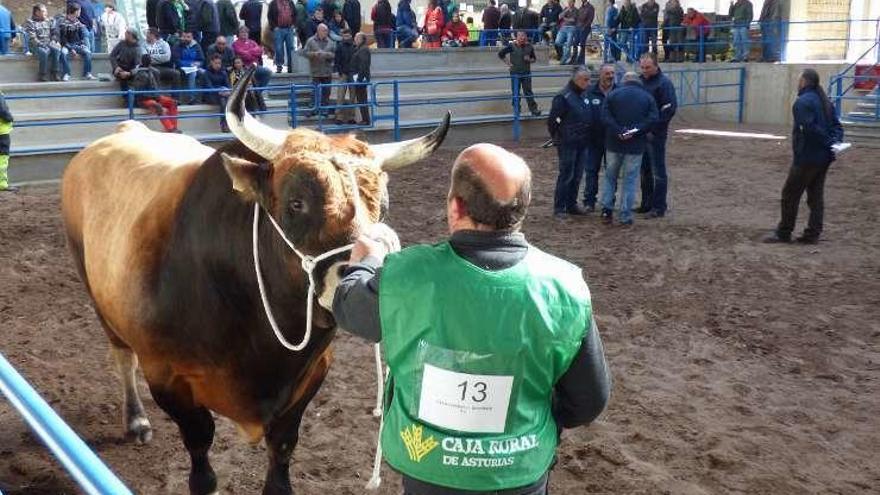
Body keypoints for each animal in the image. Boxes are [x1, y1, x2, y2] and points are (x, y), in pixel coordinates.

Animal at [60, 70, 454, 495]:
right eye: (296, 202)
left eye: (382, 205)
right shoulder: (167, 377)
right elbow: (200, 447)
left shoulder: (312, 373)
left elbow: (281, 446)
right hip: (96, 296)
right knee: (121, 356)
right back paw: (135, 420)